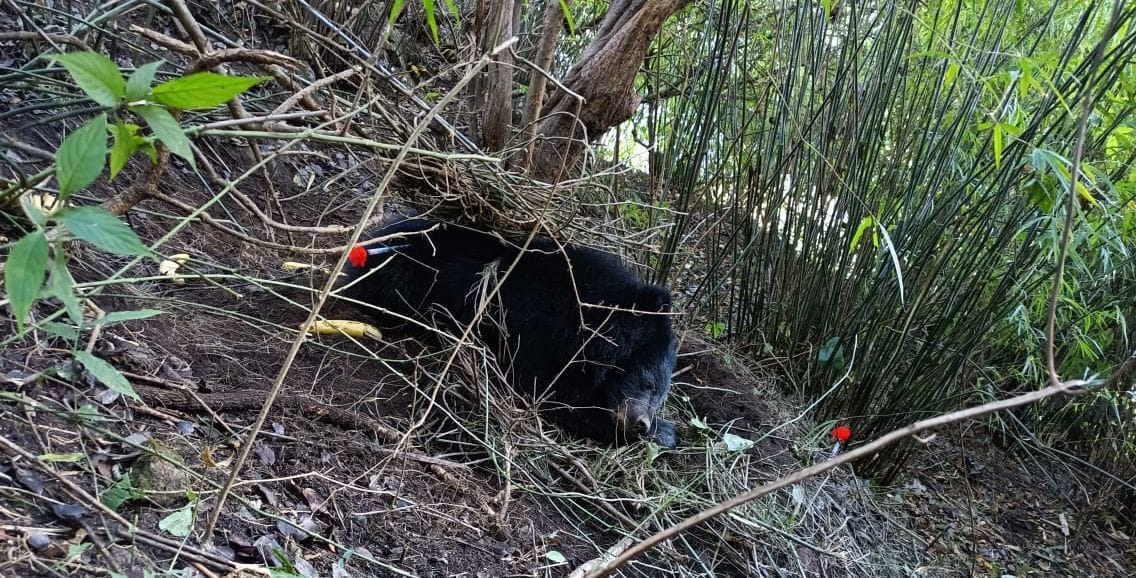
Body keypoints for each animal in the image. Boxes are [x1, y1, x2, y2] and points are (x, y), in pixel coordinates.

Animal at [335, 217, 679, 447]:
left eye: (660, 395)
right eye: (647, 382)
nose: (641, 424)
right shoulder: (542, 330)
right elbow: (553, 395)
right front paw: (662, 433)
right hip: (405, 279)